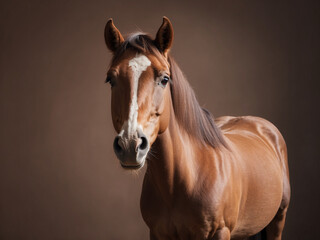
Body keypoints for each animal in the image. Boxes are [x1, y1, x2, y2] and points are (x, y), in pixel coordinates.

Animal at [104, 16, 290, 240]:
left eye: (164, 79)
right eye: (111, 79)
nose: (130, 145)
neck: (184, 179)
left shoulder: (220, 232)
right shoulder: (156, 234)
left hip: (278, 220)